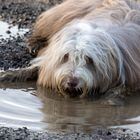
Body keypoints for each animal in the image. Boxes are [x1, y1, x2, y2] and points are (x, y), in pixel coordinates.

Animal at [0, 0, 140, 98]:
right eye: (66, 56)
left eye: (89, 60)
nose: (72, 82)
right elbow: (35, 68)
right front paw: (8, 74)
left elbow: (122, 88)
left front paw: (112, 97)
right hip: (64, 14)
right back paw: (33, 44)